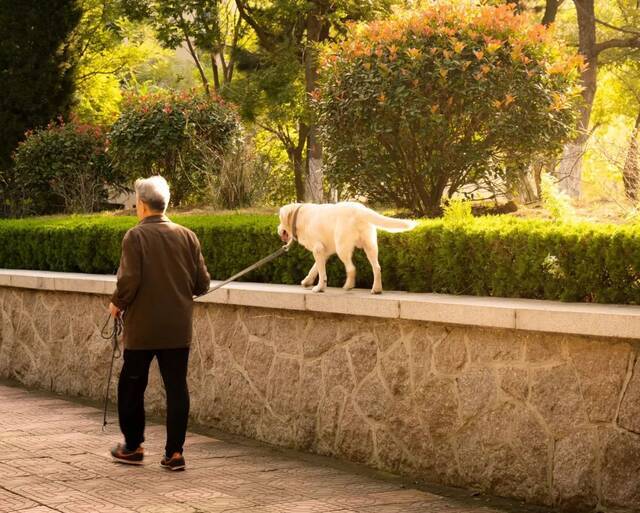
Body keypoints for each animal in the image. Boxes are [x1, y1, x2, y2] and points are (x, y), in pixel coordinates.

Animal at [278, 202, 418, 294]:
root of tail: (360, 210)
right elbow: (315, 268)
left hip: (342, 247)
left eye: (280, 220)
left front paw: (319, 288)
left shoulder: (318, 249)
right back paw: (377, 289)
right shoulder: (324, 252)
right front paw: (307, 281)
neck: (298, 216)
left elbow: (322, 272)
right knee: (377, 267)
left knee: (351, 268)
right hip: (370, 246)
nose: (277, 229)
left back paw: (348, 285)